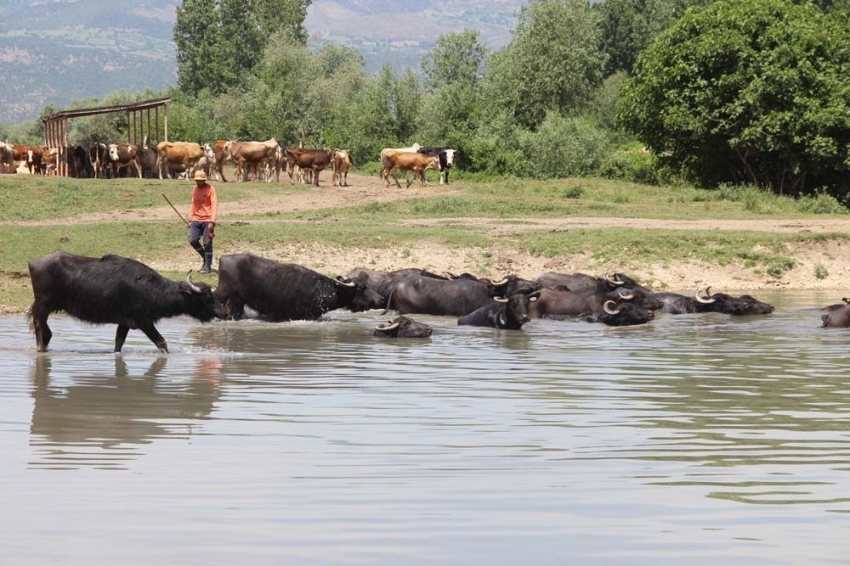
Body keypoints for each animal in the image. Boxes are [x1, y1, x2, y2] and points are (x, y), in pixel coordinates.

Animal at [28, 254, 217, 356]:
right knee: (38, 324)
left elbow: (118, 343)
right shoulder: (144, 321)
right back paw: (40, 349)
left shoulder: (125, 322)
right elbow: (162, 342)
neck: (150, 289)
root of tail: (33, 262)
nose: (220, 312)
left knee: (45, 328)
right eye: (207, 297)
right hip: (44, 304)